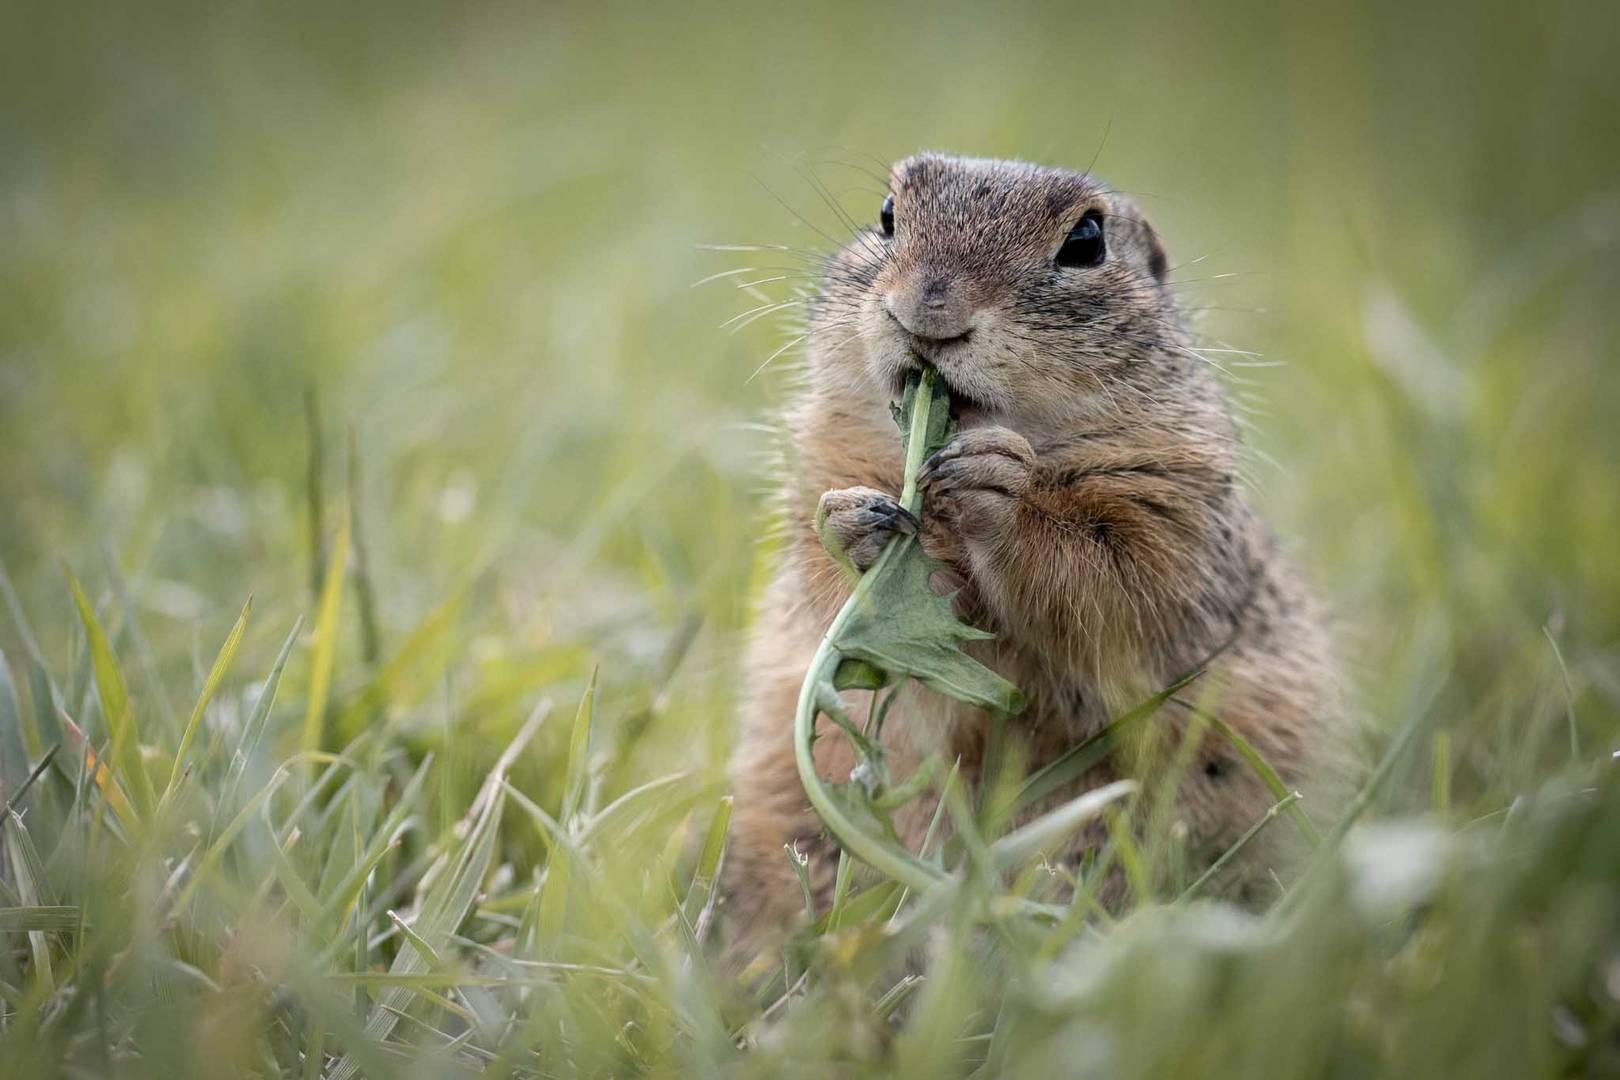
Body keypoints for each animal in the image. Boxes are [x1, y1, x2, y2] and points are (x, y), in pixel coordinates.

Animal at [722, 149, 1341, 952]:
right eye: (887, 215)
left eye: (1086, 242)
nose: (928, 309)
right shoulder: (824, 457)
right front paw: (855, 523)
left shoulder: (1171, 501)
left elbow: (1115, 588)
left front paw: (998, 489)